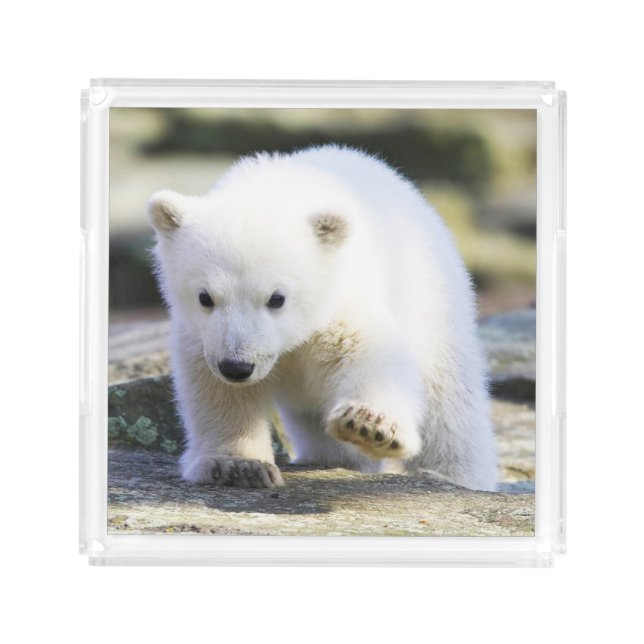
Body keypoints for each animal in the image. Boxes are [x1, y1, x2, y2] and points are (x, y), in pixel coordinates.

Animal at [147, 145, 498, 491]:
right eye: (205, 297)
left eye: (277, 298)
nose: (237, 366)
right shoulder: (202, 336)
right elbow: (217, 391)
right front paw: (239, 465)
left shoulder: (338, 298)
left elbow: (369, 351)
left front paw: (369, 425)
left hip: (432, 302)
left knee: (449, 408)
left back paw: (453, 475)